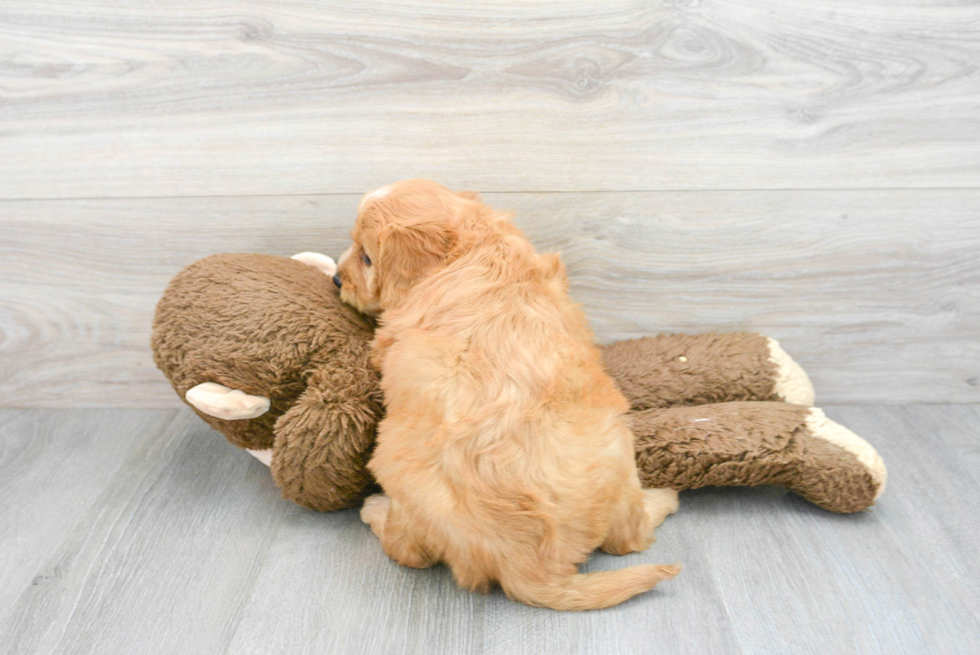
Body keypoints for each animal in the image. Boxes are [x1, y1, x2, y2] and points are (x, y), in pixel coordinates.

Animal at [334, 179, 676, 608]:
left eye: (366, 257)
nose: (336, 279)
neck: (472, 246)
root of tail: (535, 567)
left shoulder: (388, 336)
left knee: (407, 551)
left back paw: (374, 509)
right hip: (619, 453)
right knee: (627, 538)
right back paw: (664, 499)